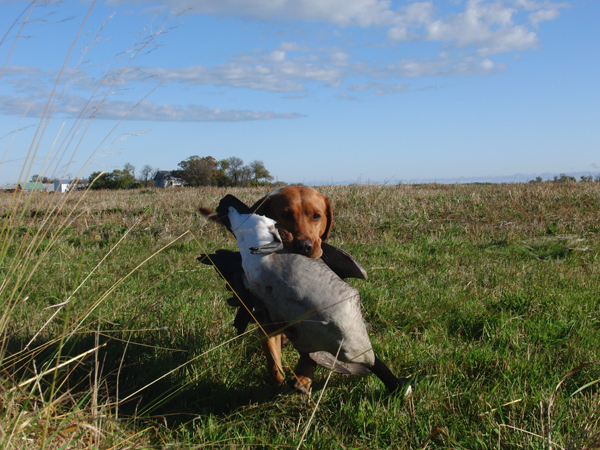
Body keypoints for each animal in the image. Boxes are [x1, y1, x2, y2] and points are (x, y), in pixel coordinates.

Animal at [202, 185, 332, 386]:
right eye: (285, 214)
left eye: (316, 216)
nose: (304, 246)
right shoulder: (266, 323)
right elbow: (272, 356)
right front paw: (279, 380)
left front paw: (303, 376)